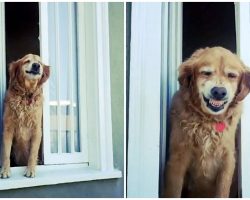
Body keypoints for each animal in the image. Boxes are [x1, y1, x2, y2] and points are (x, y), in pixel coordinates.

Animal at [164, 46, 250, 197]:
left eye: (232, 75)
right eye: (206, 73)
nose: (219, 92)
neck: (208, 120)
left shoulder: (228, 160)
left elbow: (222, 192)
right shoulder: (177, 158)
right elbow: (173, 192)